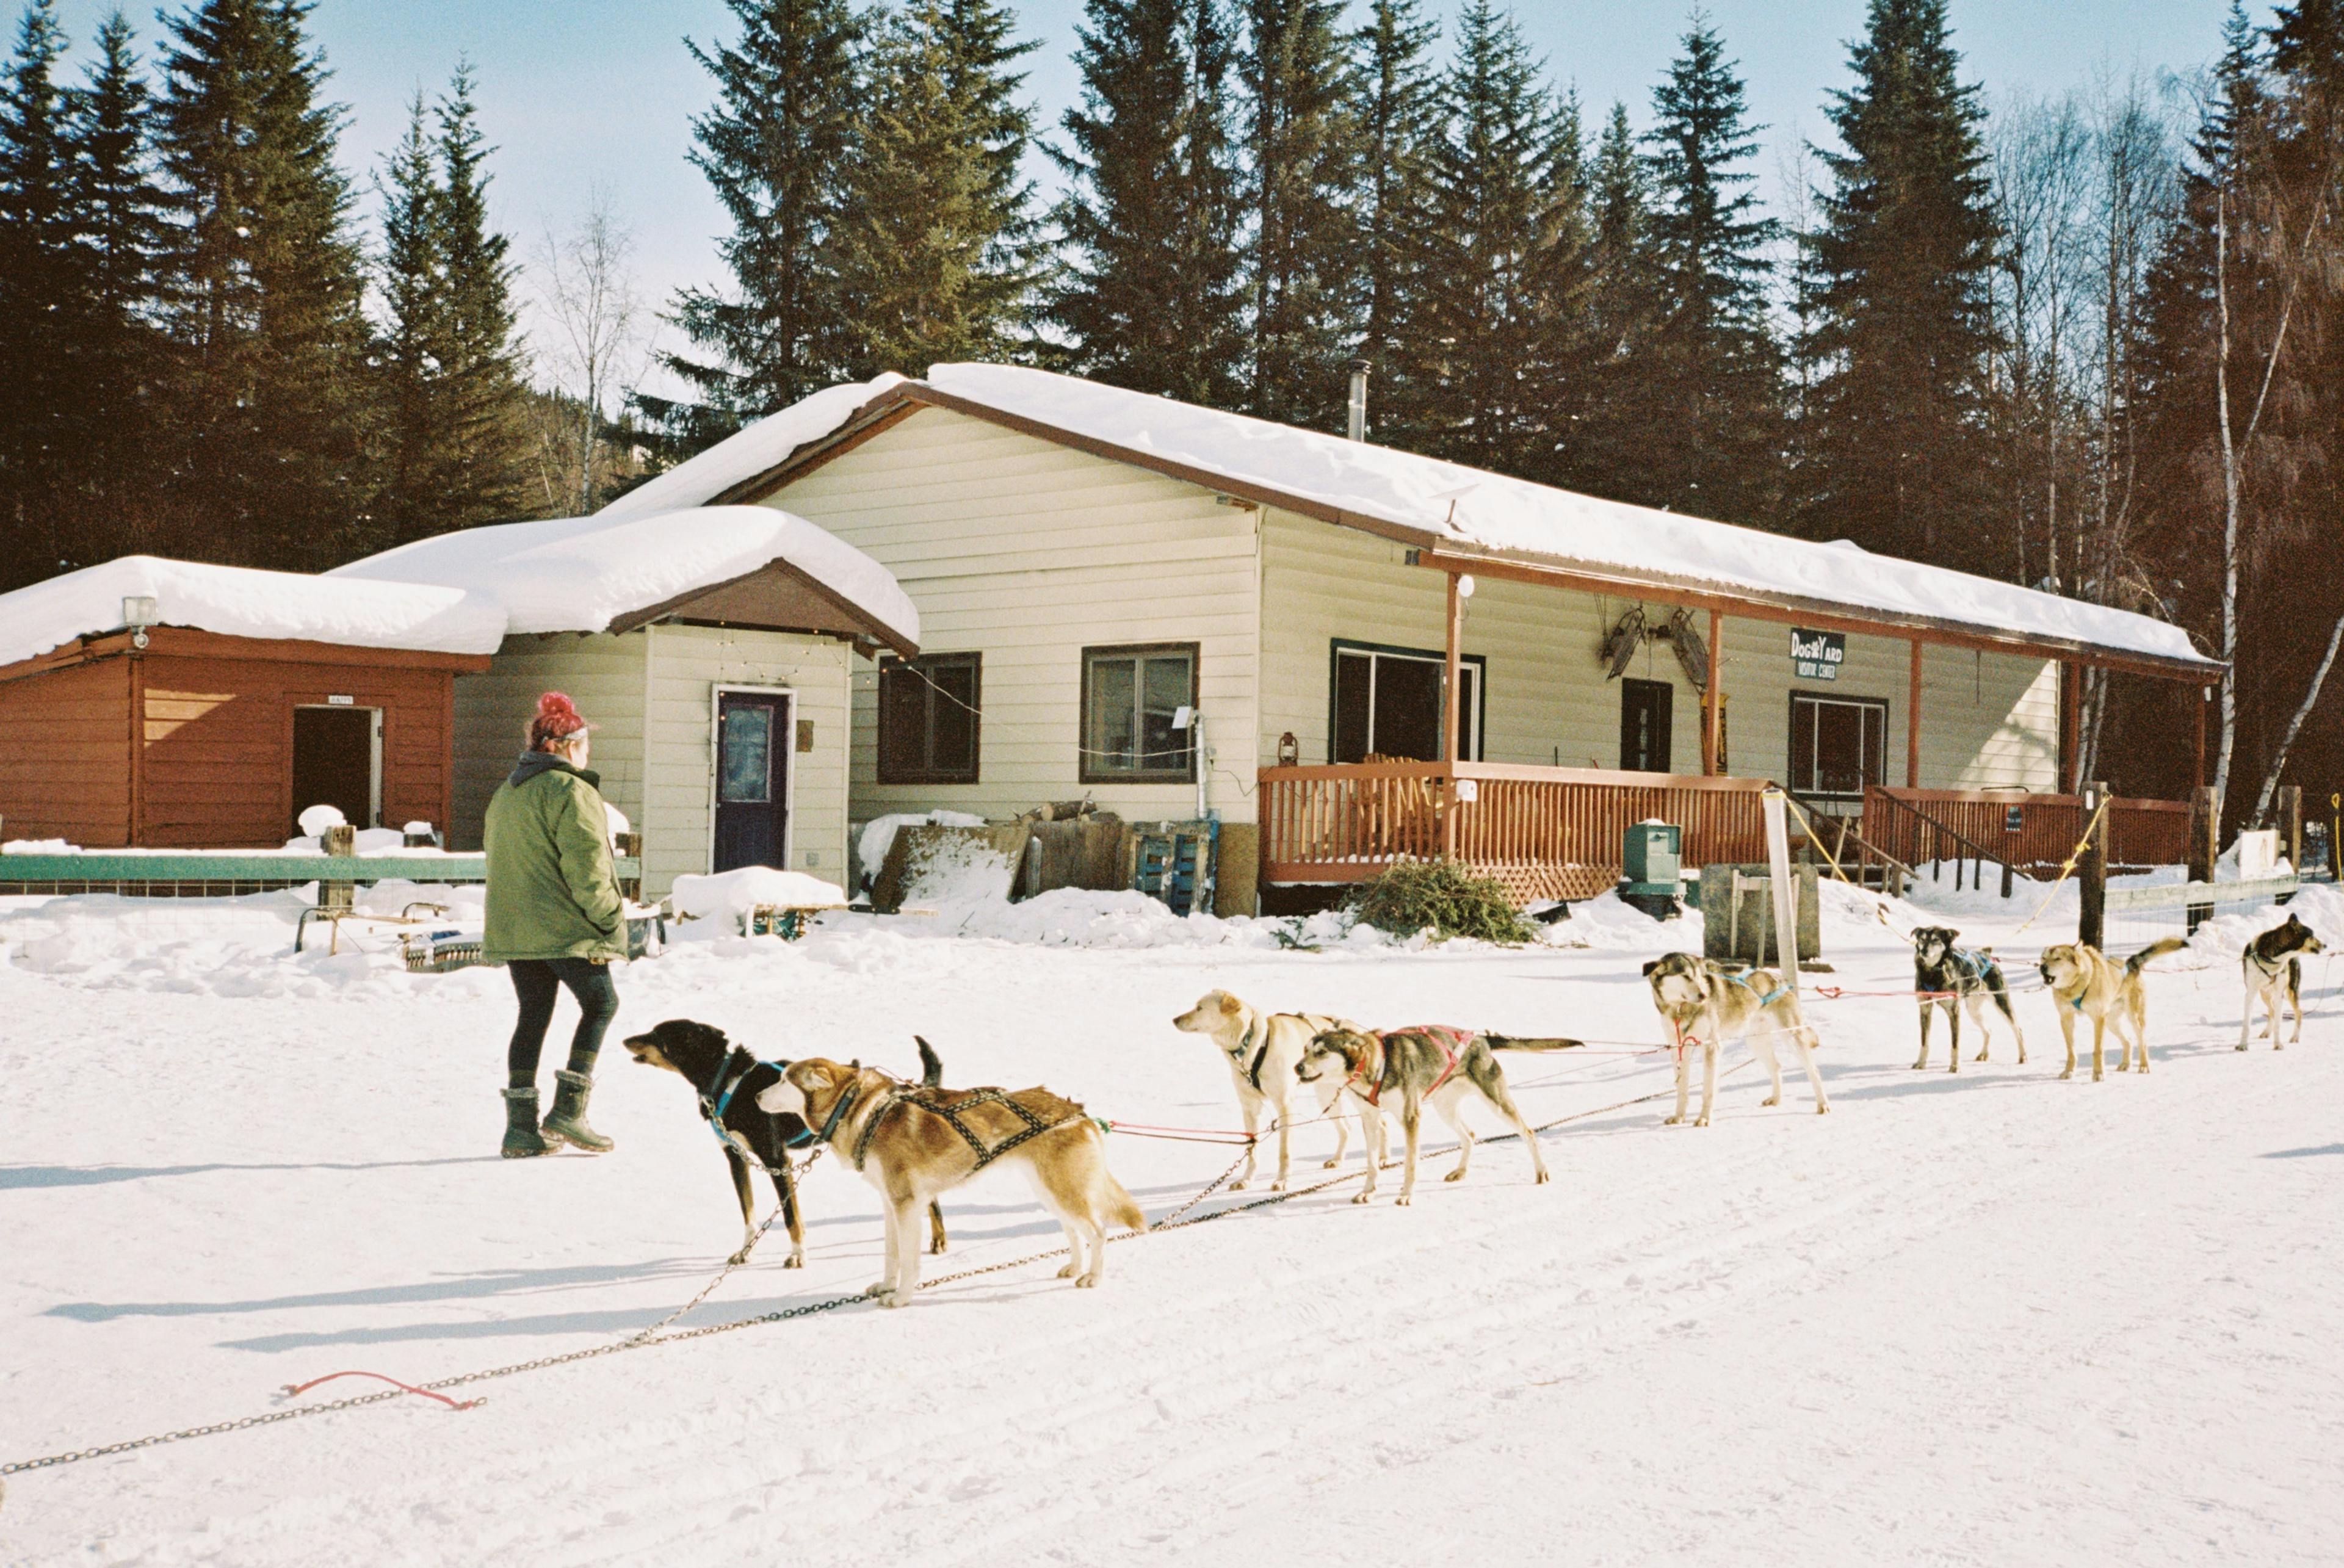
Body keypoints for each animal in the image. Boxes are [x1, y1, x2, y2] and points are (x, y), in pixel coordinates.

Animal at [759, 1059, 1143, 1303]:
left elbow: (909, 1260)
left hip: (1064, 1191)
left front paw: (901, 1298)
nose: (756, 1096)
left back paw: (1092, 1277)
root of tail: (1078, 1112)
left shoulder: (908, 1205)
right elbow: (891, 1256)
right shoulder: (891, 1205)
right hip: (1050, 1192)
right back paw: (1075, 1267)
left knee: (1098, 1232)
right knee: (1074, 1232)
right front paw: (886, 1286)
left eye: (784, 1080)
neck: (864, 1111)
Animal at [1912, 923, 2025, 1069]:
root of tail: (1986, 954)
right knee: (1988, 1030)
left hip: (2002, 1003)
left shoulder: (1954, 1012)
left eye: (1936, 939)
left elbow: (1955, 1044)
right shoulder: (1925, 1009)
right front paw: (1921, 1063)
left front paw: (1955, 1067)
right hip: (1973, 1011)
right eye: (1922, 939)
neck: (1934, 973)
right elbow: (1924, 1042)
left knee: (2018, 1029)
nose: (1924, 951)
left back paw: (2023, 1056)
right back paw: (1983, 1054)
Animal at [2241, 905, 2315, 1050]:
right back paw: (2266, 1032)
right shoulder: (2250, 993)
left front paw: (2278, 1045)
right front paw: (2242, 1045)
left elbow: (2278, 1024)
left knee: (2298, 1013)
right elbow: (2247, 1024)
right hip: (2264, 994)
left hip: (2289, 992)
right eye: (2311, 936)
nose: (2325, 945)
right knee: (2272, 1012)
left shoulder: (2279, 994)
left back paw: (2295, 1037)